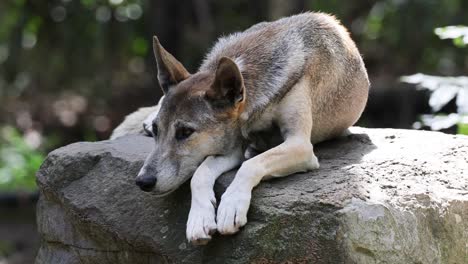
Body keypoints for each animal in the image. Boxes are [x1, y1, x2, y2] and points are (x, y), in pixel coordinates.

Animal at [110, 11, 370, 244]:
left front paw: (231, 205)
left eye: (185, 133)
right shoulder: (232, 147)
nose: (142, 182)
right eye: (157, 131)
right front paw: (199, 219)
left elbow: (249, 165)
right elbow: (200, 174)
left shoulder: (299, 145)